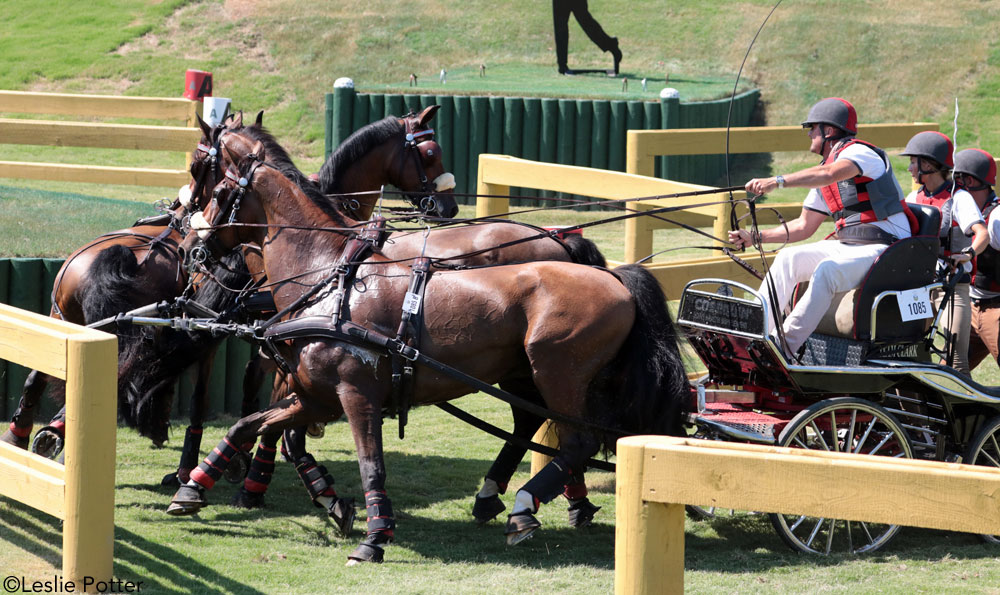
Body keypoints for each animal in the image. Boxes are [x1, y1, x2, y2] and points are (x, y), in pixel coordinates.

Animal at [172, 143, 688, 564]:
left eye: (217, 189)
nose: (188, 246)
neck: (328, 277)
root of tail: (615, 276)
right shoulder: (314, 398)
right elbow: (250, 425)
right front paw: (194, 486)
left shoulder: (356, 395)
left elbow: (369, 462)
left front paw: (375, 535)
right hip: (521, 373)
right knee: (534, 426)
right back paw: (508, 497)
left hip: (557, 372)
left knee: (576, 440)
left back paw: (525, 505)